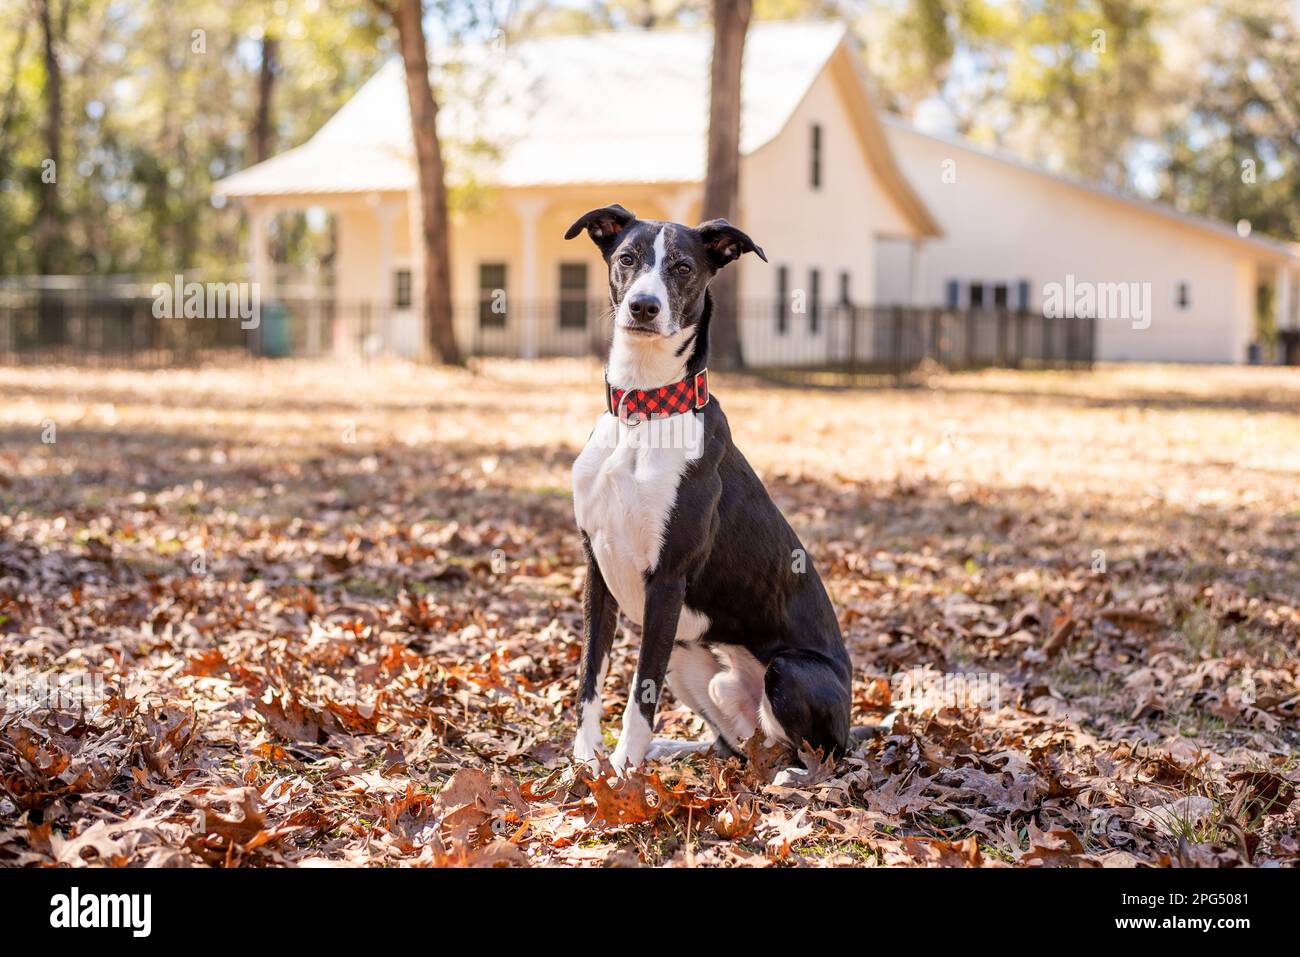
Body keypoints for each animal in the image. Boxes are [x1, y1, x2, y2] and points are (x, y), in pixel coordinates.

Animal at [566, 205, 852, 774]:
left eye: (682, 267)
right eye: (627, 258)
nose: (644, 306)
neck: (644, 411)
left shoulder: (667, 580)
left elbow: (640, 691)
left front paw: (622, 772)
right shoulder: (597, 569)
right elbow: (590, 675)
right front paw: (586, 762)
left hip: (790, 672)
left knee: (821, 754)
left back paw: (793, 776)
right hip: (689, 655)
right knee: (735, 746)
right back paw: (678, 749)